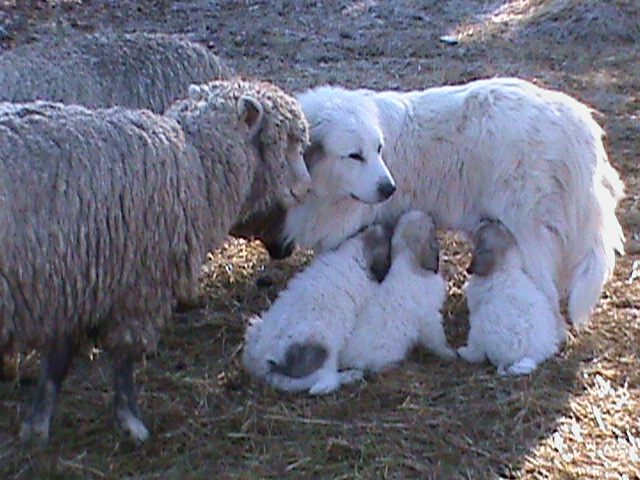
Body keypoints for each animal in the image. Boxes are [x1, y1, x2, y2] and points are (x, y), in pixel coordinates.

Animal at [0, 78, 312, 445]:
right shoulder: (138, 286)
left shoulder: (76, 282)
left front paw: (36, 425)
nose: (307, 187)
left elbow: (57, 361)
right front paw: (131, 422)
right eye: (289, 141)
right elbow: (123, 357)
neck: (197, 165)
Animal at [242, 224, 392, 395]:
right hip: (325, 349)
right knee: (325, 382)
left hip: (256, 327)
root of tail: (265, 361)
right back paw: (350, 375)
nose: (387, 226)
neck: (352, 254)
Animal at [340, 210, 455, 373]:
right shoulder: (430, 317)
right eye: (431, 226)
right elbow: (437, 340)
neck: (407, 260)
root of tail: (344, 362)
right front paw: (448, 353)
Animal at [458, 219, 567, 375]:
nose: (486, 220)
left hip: (480, 326)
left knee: (477, 352)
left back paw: (463, 352)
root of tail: (532, 355)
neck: (504, 269)